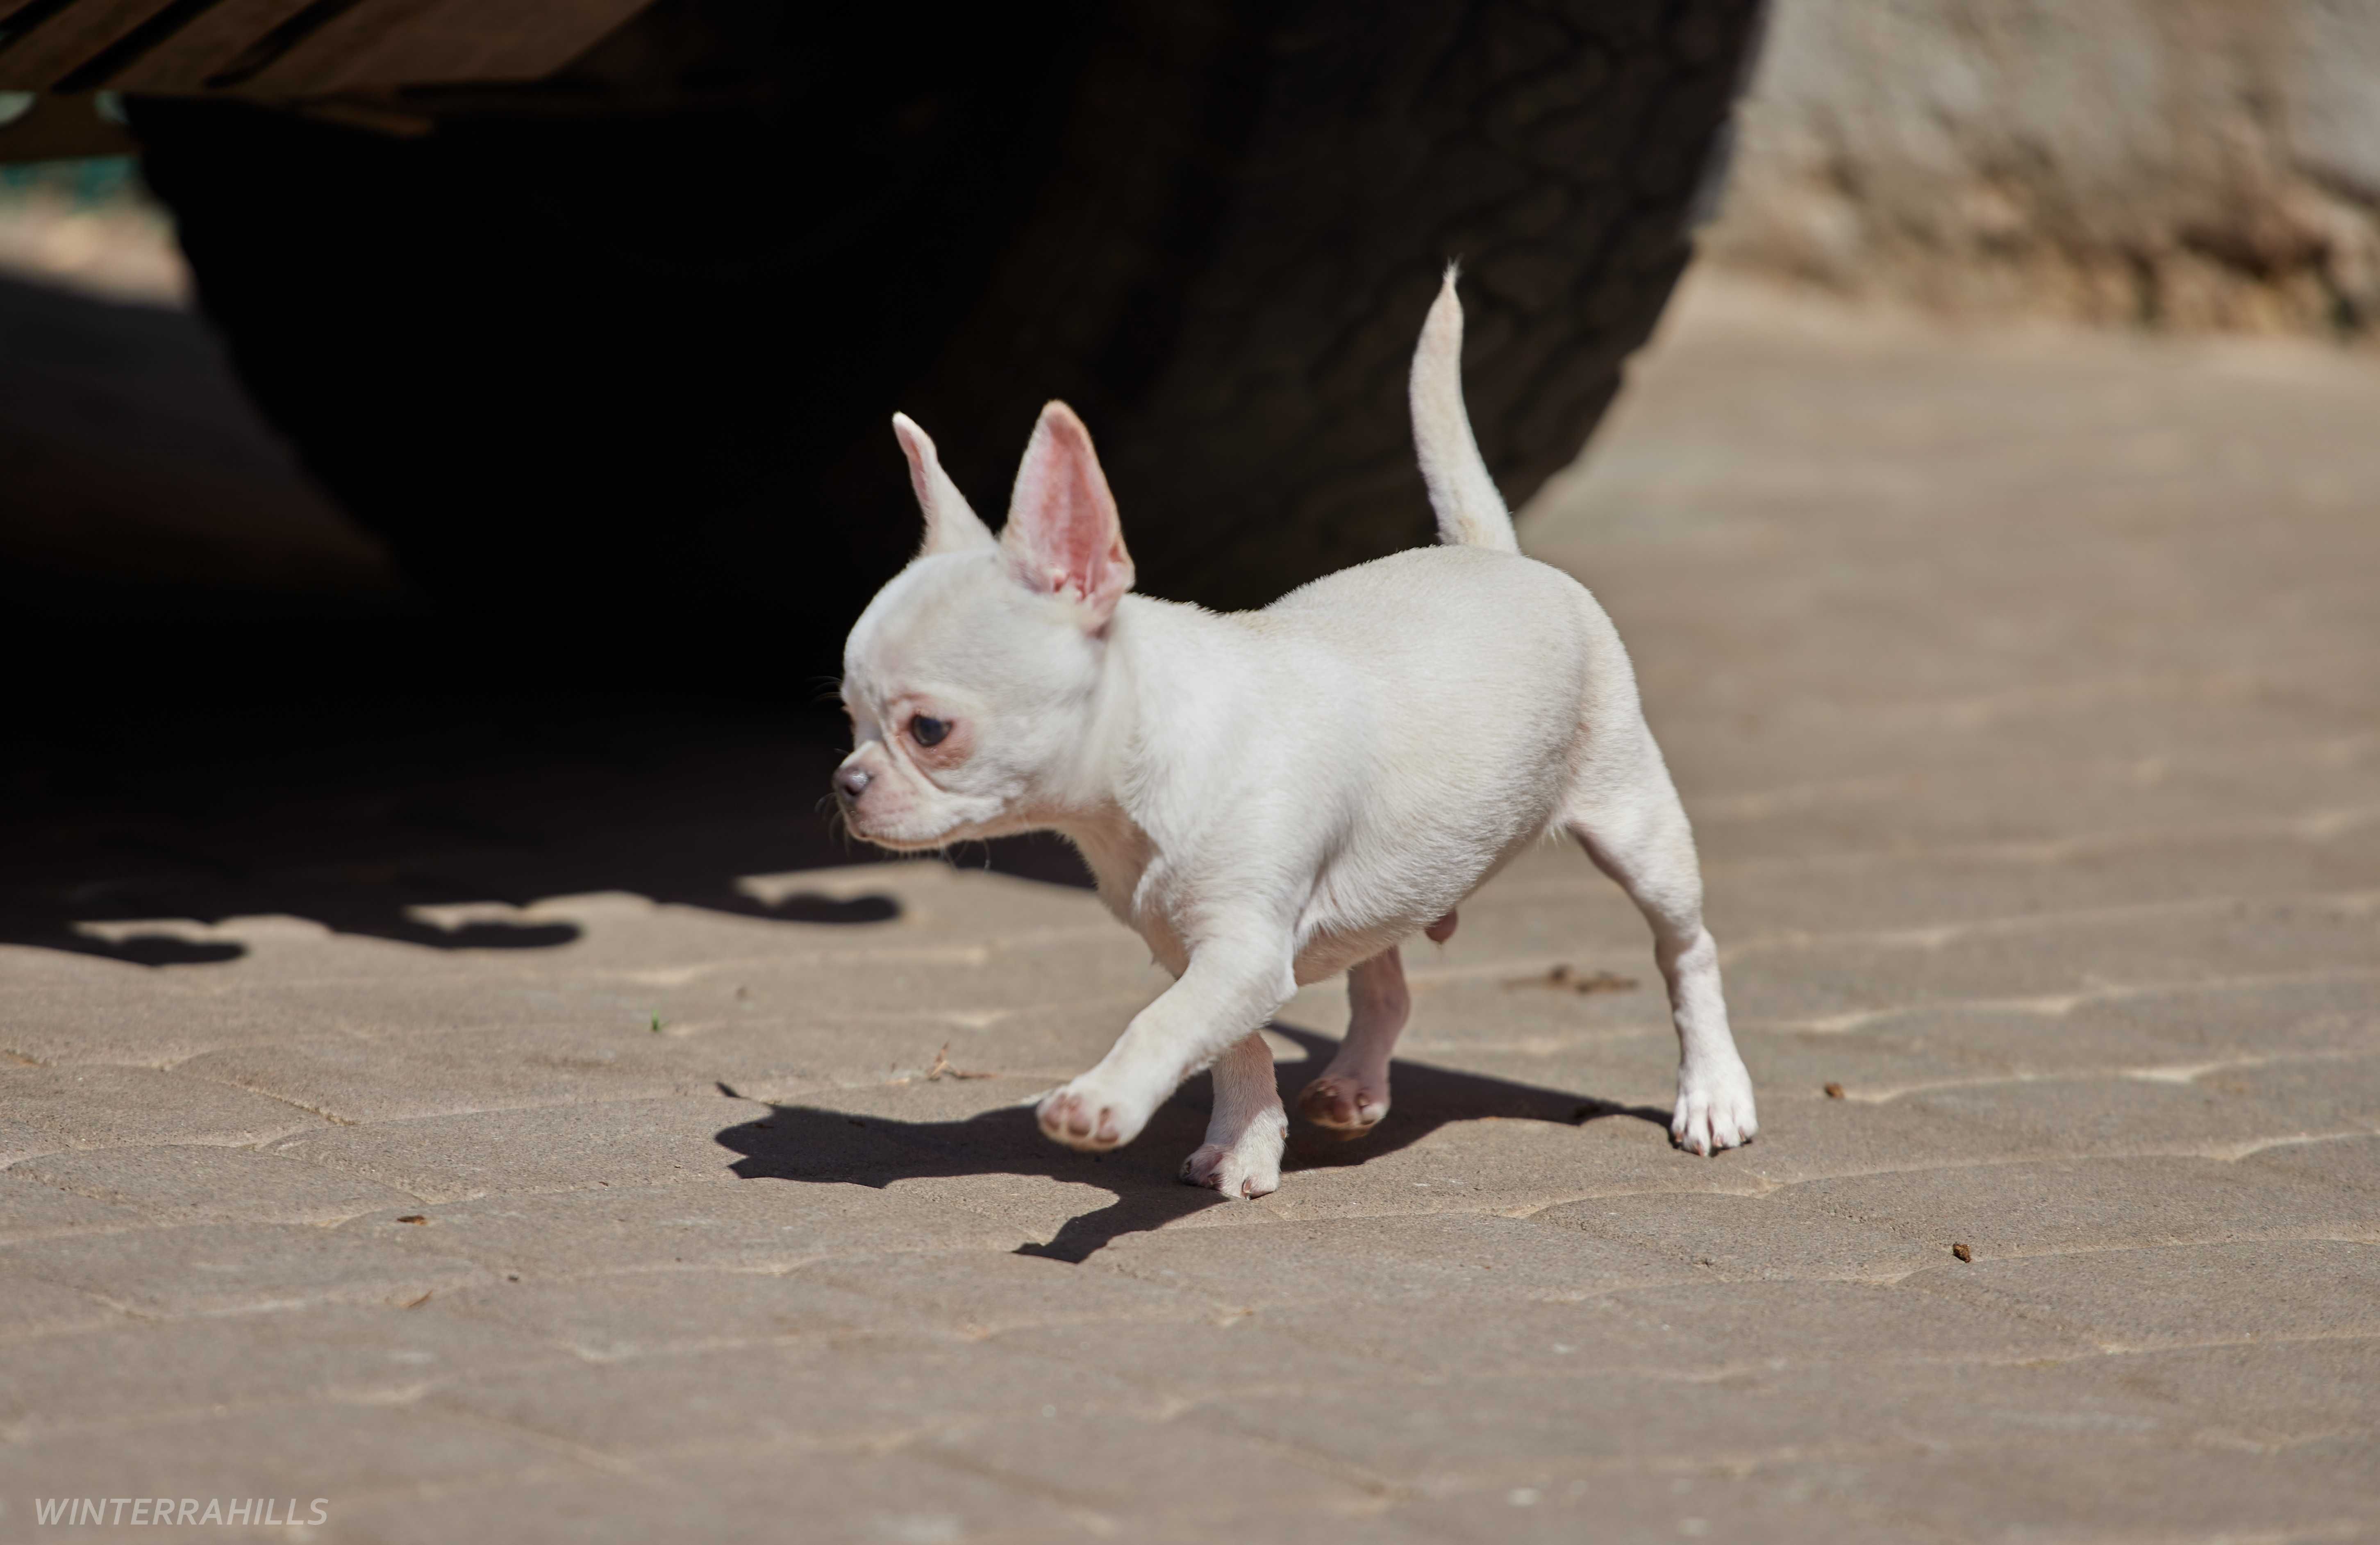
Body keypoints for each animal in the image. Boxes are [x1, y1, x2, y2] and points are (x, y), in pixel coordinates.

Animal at [833, 274, 1751, 1195]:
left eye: (929, 730)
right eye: (848, 717)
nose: (845, 783)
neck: (1141, 773)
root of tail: (1496, 552)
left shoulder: (1238, 949)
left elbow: (1163, 1026)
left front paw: (1103, 1102)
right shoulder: (1207, 952)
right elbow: (1232, 1046)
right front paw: (1245, 1140)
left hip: (1635, 826)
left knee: (1687, 950)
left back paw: (1711, 1092)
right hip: (1393, 876)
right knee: (1384, 984)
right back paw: (1355, 1084)